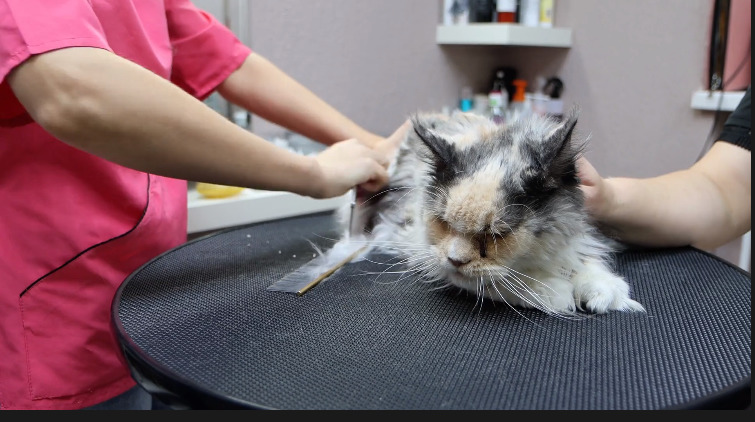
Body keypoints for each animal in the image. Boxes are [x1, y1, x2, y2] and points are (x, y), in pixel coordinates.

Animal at [320, 108, 644, 316]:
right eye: (443, 223)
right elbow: (499, 282)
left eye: (497, 235)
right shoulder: (423, 248)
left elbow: (583, 256)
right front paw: (557, 292)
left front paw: (603, 290)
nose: (455, 260)